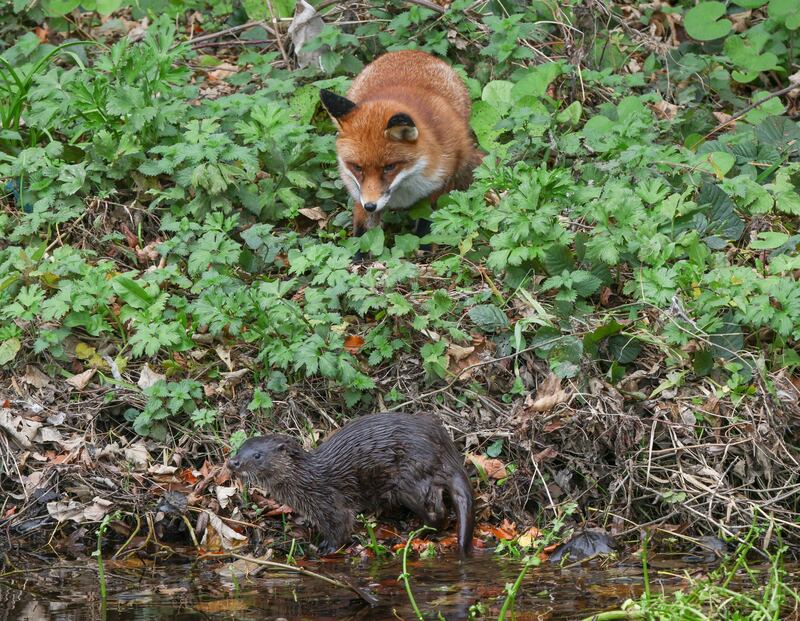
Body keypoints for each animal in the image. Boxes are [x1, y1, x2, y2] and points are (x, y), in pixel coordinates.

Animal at [227, 411, 474, 555]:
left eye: (257, 455)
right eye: (240, 449)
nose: (233, 462)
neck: (307, 482)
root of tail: (446, 448)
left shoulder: (330, 503)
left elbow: (342, 526)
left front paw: (326, 547)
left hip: (410, 477)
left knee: (439, 511)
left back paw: (420, 531)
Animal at [319, 50, 483, 239]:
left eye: (389, 167)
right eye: (357, 168)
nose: (370, 206)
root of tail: (412, 52)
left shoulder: (439, 185)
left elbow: (427, 230)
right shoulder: (358, 194)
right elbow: (364, 236)